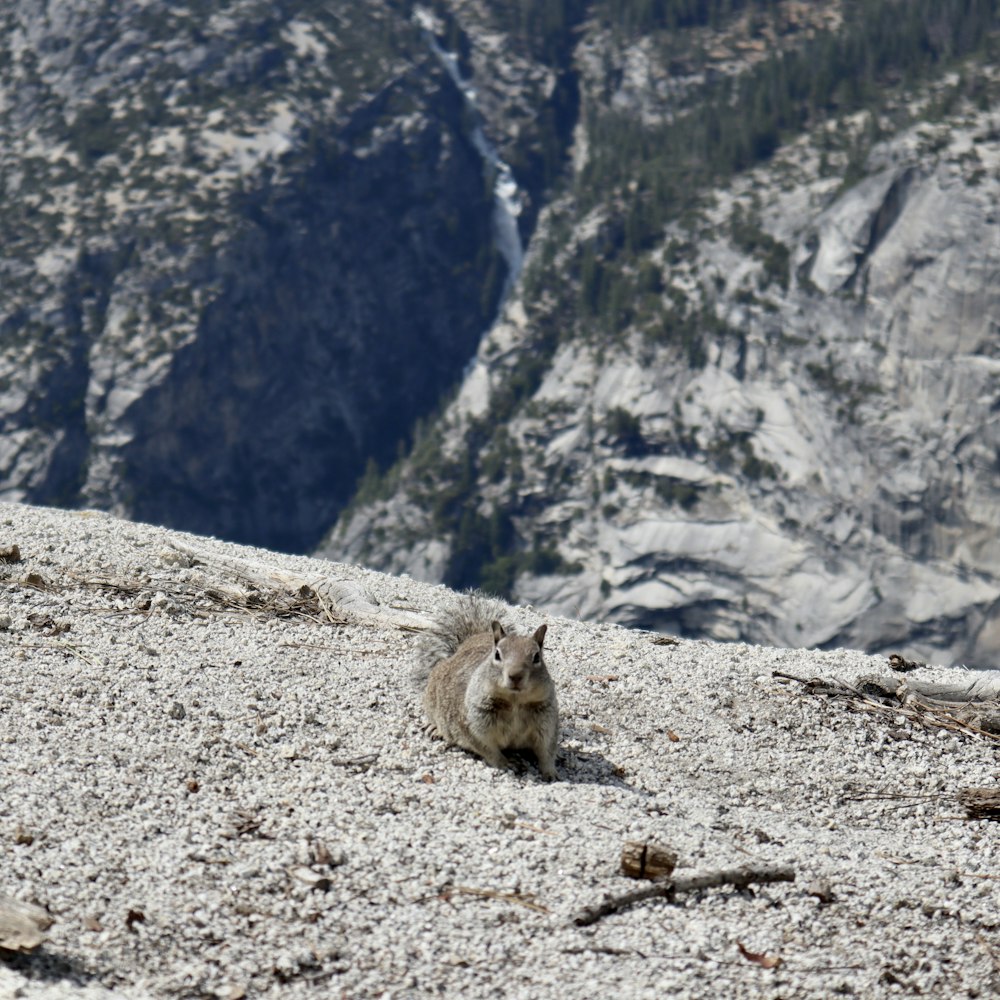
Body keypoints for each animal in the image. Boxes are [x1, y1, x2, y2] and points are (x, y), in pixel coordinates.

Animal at [410, 592, 560, 780]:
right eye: (497, 654)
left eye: (537, 657)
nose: (515, 676)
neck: (515, 701)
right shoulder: (473, 722)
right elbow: (487, 748)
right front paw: (505, 763)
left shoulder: (547, 720)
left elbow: (547, 750)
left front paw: (551, 772)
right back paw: (435, 728)